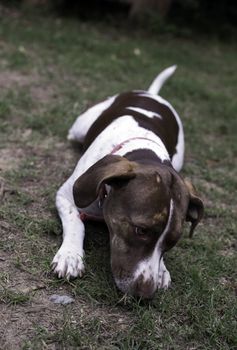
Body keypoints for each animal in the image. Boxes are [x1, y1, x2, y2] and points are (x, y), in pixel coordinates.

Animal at [51, 67, 204, 300]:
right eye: (140, 230)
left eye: (173, 241)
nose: (145, 295)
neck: (143, 150)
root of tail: (151, 94)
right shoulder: (66, 195)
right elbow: (76, 222)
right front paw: (70, 255)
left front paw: (162, 270)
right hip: (81, 127)